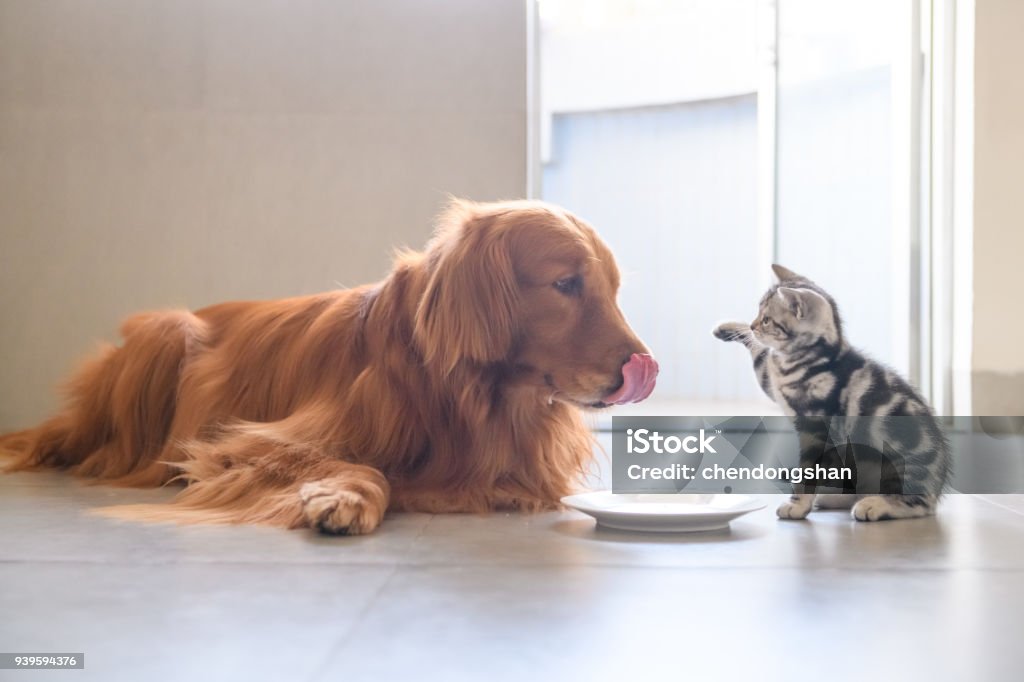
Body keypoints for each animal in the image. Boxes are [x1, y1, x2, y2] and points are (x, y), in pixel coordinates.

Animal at [0, 199, 655, 532]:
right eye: (565, 284)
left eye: (612, 287)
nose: (642, 368)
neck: (463, 392)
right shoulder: (245, 444)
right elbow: (362, 465)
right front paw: (345, 497)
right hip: (167, 332)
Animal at [716, 262, 946, 518]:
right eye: (758, 315)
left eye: (767, 320)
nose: (754, 324)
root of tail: (938, 484)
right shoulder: (772, 383)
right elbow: (760, 353)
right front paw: (726, 328)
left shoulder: (815, 429)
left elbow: (808, 470)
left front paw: (797, 505)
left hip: (903, 465)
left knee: (920, 503)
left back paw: (875, 504)